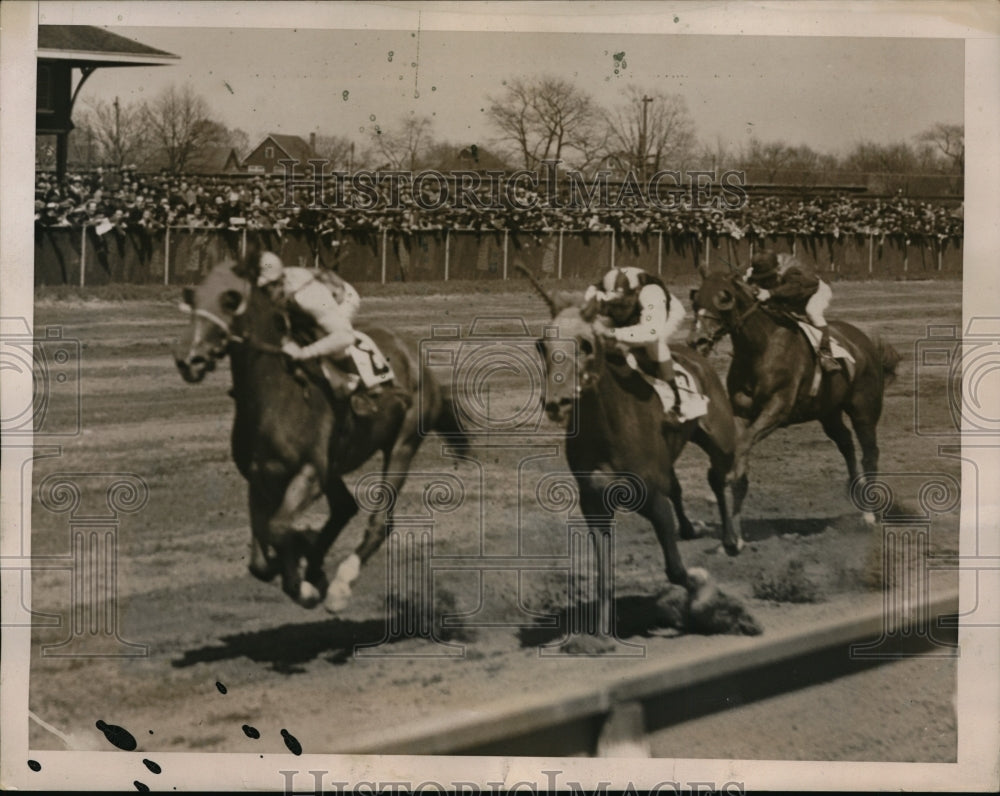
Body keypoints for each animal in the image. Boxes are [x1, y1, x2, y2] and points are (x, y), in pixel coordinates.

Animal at [177, 258, 460, 612]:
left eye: (230, 301)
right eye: (194, 301)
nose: (189, 360)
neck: (274, 394)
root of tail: (416, 358)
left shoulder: (309, 473)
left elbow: (279, 528)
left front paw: (305, 580)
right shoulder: (260, 475)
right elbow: (260, 557)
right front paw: (301, 562)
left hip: (402, 444)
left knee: (380, 520)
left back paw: (340, 585)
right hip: (334, 465)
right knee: (344, 508)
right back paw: (316, 565)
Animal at [524, 268, 752, 636]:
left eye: (586, 344)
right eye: (541, 345)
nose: (557, 402)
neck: (607, 430)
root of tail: (698, 356)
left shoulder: (651, 500)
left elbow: (675, 569)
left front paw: (703, 590)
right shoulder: (594, 504)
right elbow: (603, 575)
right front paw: (601, 635)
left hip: (719, 438)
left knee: (719, 477)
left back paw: (731, 539)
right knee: (679, 486)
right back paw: (690, 528)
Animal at [692, 268, 904, 528]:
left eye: (723, 299)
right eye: (696, 299)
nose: (697, 340)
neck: (760, 348)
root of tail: (866, 342)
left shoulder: (777, 409)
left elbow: (745, 441)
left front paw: (729, 480)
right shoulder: (741, 411)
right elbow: (739, 442)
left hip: (864, 410)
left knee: (870, 453)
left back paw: (869, 513)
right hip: (828, 412)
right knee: (845, 443)